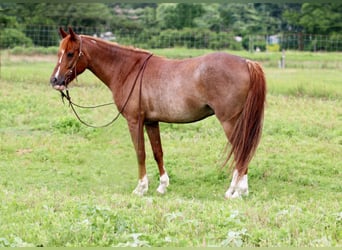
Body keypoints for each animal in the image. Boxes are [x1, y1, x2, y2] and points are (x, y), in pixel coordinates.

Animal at [49, 27, 266, 199]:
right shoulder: (151, 122)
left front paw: (141, 188)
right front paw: (162, 186)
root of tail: (247, 63)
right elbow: (157, 152)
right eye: (59, 52)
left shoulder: (134, 121)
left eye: (70, 53)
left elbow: (140, 152)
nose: (55, 81)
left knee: (241, 151)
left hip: (230, 122)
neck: (128, 69)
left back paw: (236, 192)